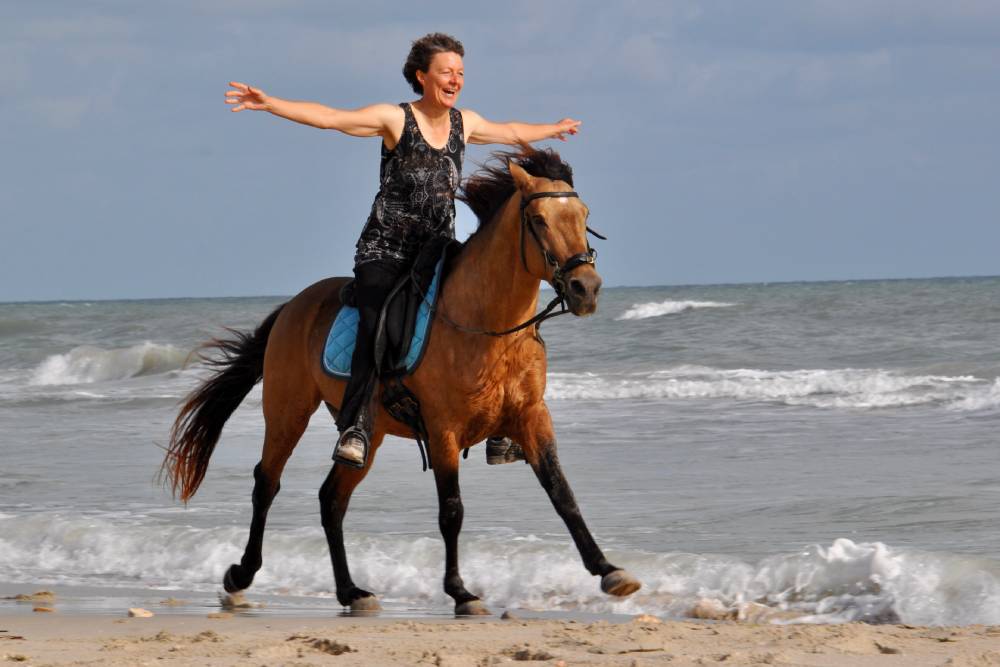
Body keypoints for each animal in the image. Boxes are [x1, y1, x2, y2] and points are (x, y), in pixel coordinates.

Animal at [162, 150, 640, 616]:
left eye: (583, 215)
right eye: (538, 220)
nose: (585, 288)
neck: (487, 324)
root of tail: (292, 306)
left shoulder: (532, 417)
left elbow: (563, 494)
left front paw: (610, 571)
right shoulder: (444, 429)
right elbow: (452, 511)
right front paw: (460, 592)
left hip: (365, 432)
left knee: (331, 498)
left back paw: (352, 592)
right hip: (287, 411)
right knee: (267, 483)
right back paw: (240, 577)